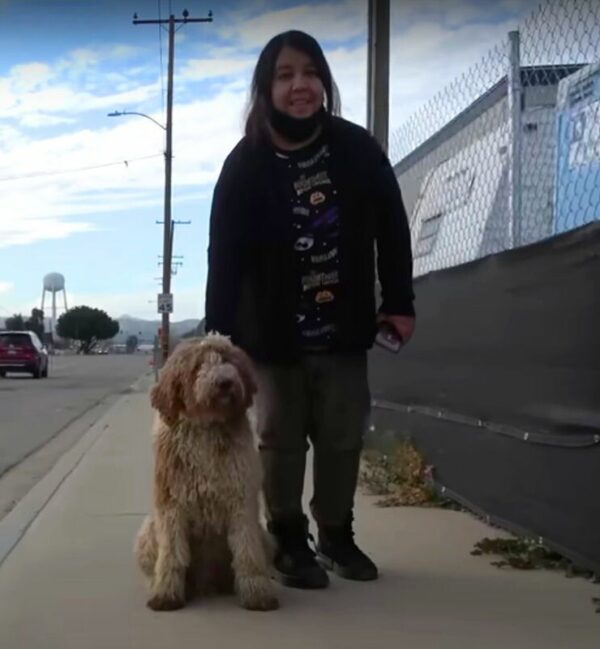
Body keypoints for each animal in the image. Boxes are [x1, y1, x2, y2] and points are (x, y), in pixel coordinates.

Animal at [134, 332, 278, 612]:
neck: (206, 427)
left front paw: (257, 594)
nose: (225, 382)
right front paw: (166, 594)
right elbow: (172, 556)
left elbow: (247, 553)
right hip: (147, 532)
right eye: (198, 365)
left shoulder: (241, 500)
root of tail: (207, 584)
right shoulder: (172, 505)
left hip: (265, 538)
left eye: (227, 359)